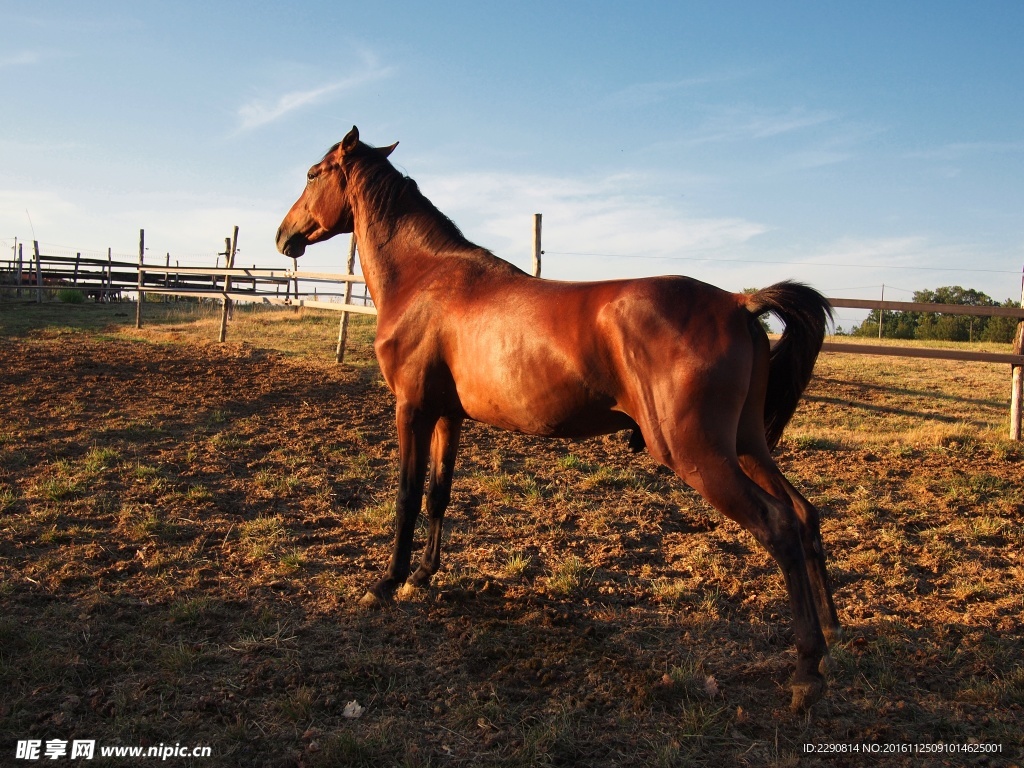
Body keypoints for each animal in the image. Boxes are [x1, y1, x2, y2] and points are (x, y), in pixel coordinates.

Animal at [276, 126, 841, 711]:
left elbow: (408, 496)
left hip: (700, 455)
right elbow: (438, 494)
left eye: (313, 173)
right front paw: (424, 575)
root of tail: (738, 302)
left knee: (779, 526)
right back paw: (829, 636)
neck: (425, 279)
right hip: (747, 445)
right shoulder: (447, 416)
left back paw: (806, 670)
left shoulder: (411, 410)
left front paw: (387, 583)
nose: (283, 236)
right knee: (803, 514)